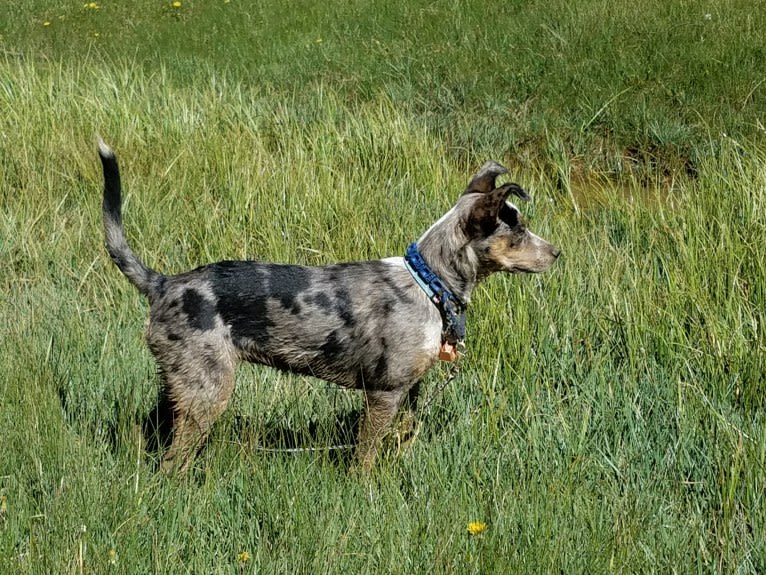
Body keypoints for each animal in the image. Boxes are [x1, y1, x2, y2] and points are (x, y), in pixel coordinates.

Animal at [97, 140, 560, 472]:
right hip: (209, 389)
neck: (430, 283)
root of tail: (163, 283)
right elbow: (366, 457)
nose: (557, 253)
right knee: (172, 461)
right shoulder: (384, 392)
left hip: (182, 384)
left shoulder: (410, 392)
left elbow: (403, 439)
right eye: (518, 231)